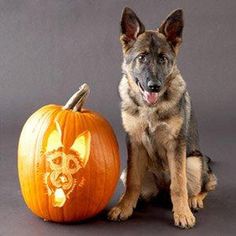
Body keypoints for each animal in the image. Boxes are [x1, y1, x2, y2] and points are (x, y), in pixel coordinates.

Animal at [108, 7, 217, 229]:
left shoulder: (176, 145)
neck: (150, 108)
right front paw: (124, 207)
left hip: (194, 162)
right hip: (130, 171)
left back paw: (194, 200)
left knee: (203, 185)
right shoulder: (134, 143)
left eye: (163, 59)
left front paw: (182, 213)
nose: (154, 86)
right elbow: (132, 182)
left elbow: (179, 185)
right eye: (142, 58)